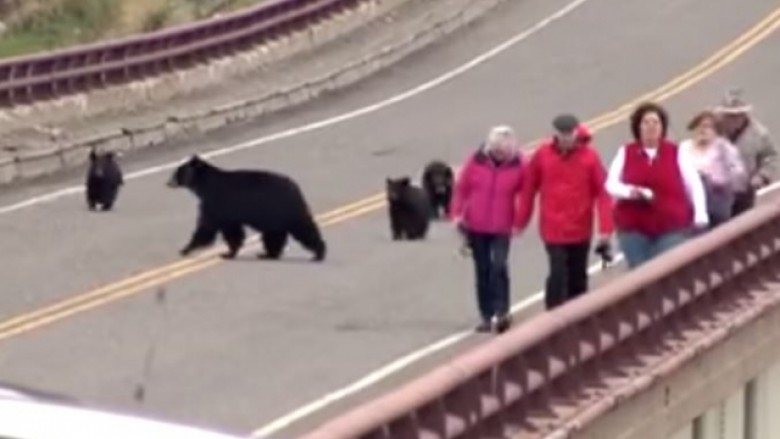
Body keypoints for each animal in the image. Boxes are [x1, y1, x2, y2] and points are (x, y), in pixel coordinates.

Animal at [169, 156, 328, 262]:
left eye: (177, 172)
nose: (168, 182)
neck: (204, 186)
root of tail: (295, 187)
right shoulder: (223, 210)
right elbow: (230, 230)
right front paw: (229, 252)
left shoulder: (216, 204)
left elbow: (208, 228)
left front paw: (186, 249)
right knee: (274, 235)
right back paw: (269, 254)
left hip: (282, 209)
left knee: (301, 228)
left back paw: (318, 253)